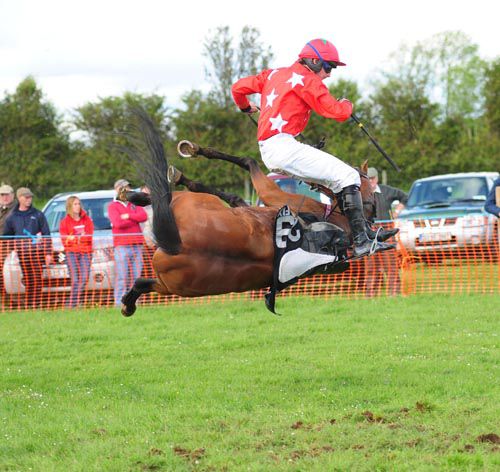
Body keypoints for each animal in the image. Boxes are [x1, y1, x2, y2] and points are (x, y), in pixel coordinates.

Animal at [120, 110, 390, 318]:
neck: (340, 218)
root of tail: (177, 244)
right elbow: (237, 191)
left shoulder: (272, 195)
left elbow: (246, 165)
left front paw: (192, 160)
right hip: (175, 286)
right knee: (145, 282)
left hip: (181, 251)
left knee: (166, 204)